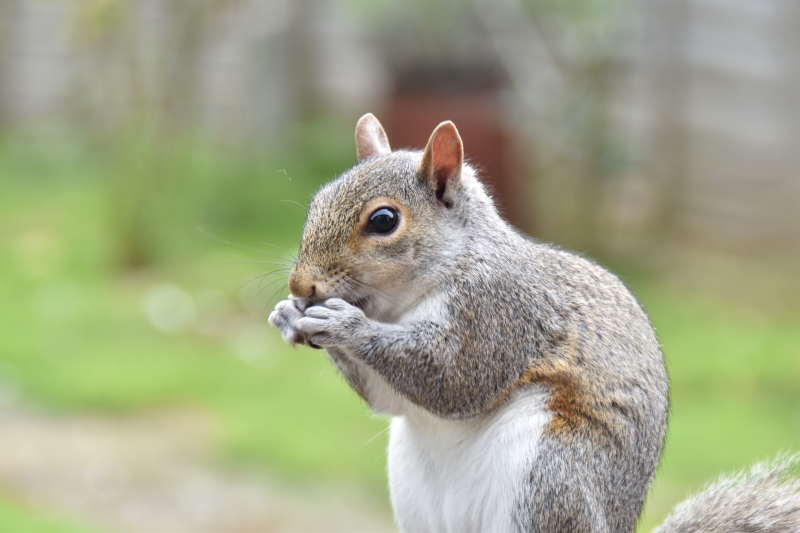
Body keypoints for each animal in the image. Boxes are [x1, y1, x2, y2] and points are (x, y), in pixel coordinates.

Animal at [268, 114, 800, 528]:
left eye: (383, 220)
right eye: (316, 202)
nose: (301, 286)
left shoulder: (500, 312)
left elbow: (453, 379)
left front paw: (345, 324)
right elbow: (389, 399)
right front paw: (288, 315)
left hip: (551, 471)